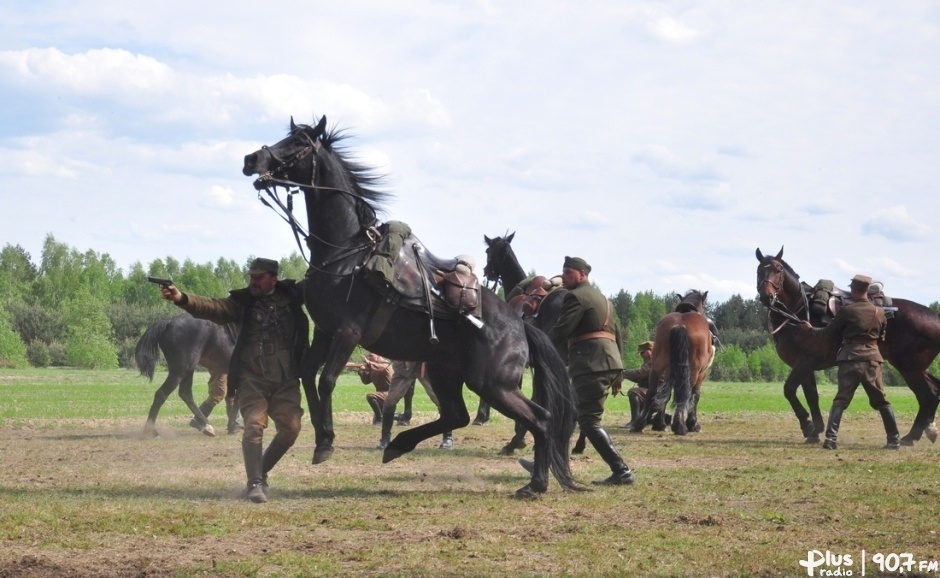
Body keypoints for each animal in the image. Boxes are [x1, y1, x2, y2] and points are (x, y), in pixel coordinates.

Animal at [242, 117, 580, 496]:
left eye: (299, 141)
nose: (251, 159)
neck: (345, 257)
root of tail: (521, 324)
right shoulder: (325, 333)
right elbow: (307, 375)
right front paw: (320, 437)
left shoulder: (347, 333)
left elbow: (327, 379)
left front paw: (326, 441)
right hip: (448, 373)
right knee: (459, 415)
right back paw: (400, 445)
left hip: (493, 384)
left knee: (540, 419)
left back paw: (535, 483)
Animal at [632, 290, 712, 434]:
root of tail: (680, 325)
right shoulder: (702, 373)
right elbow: (695, 396)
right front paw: (693, 424)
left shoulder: (669, 370)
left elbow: (666, 393)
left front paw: (659, 423)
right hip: (693, 370)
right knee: (685, 393)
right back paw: (680, 426)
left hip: (657, 365)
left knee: (652, 392)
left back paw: (640, 424)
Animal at [756, 245, 940, 444]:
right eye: (759, 271)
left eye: (778, 270)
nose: (766, 296)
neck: (798, 312)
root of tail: (936, 318)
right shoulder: (805, 365)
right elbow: (811, 396)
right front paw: (816, 430)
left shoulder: (805, 361)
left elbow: (789, 390)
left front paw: (807, 426)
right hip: (918, 368)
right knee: (934, 391)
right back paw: (927, 430)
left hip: (909, 368)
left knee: (927, 396)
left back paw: (911, 436)